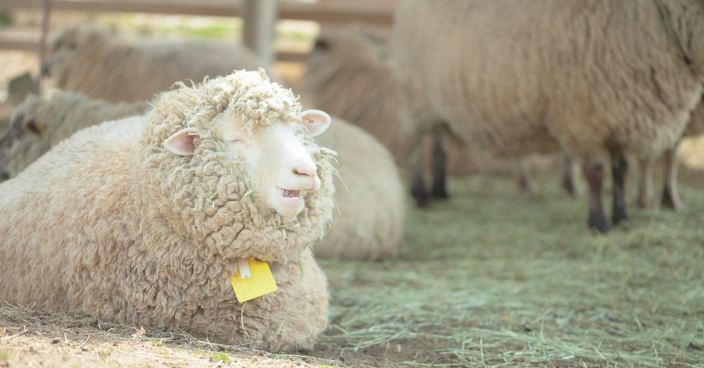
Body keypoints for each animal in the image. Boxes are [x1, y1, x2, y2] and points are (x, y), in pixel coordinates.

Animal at [394, 0, 704, 231]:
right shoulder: (585, 117)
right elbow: (596, 174)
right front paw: (599, 224)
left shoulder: (621, 118)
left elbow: (621, 173)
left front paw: (623, 220)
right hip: (415, 95)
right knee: (414, 148)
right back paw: (420, 196)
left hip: (436, 108)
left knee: (437, 148)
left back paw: (440, 192)